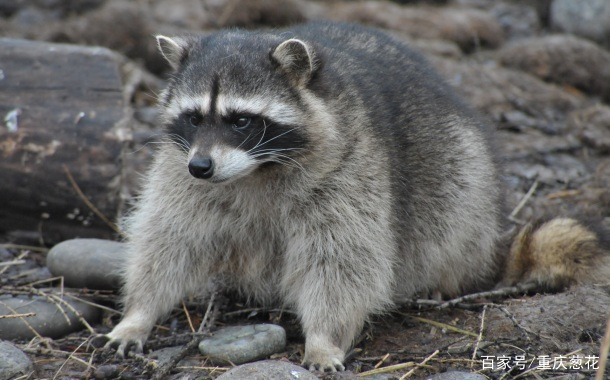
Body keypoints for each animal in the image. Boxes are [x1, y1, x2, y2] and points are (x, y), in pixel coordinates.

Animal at [105, 21, 504, 372]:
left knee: (454, 212)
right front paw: (139, 313)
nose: (201, 167)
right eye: (193, 118)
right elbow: (167, 240)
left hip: (462, 170)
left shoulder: (349, 169)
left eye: (241, 121)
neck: (255, 170)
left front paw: (324, 338)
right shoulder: (179, 172)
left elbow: (342, 260)